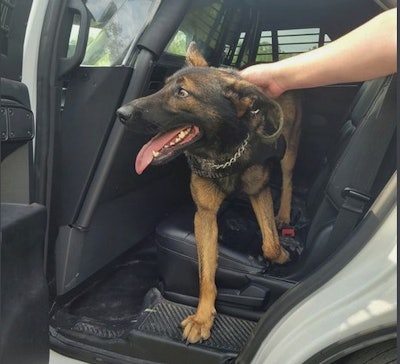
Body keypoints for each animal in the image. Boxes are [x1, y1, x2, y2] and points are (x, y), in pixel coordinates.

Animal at [117, 42, 302, 344]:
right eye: (163, 87)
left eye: (182, 92)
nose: (121, 113)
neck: (224, 152)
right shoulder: (204, 215)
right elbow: (206, 274)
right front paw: (203, 317)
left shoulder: (259, 191)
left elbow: (270, 244)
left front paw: (282, 254)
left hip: (289, 148)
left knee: (287, 178)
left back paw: (284, 212)